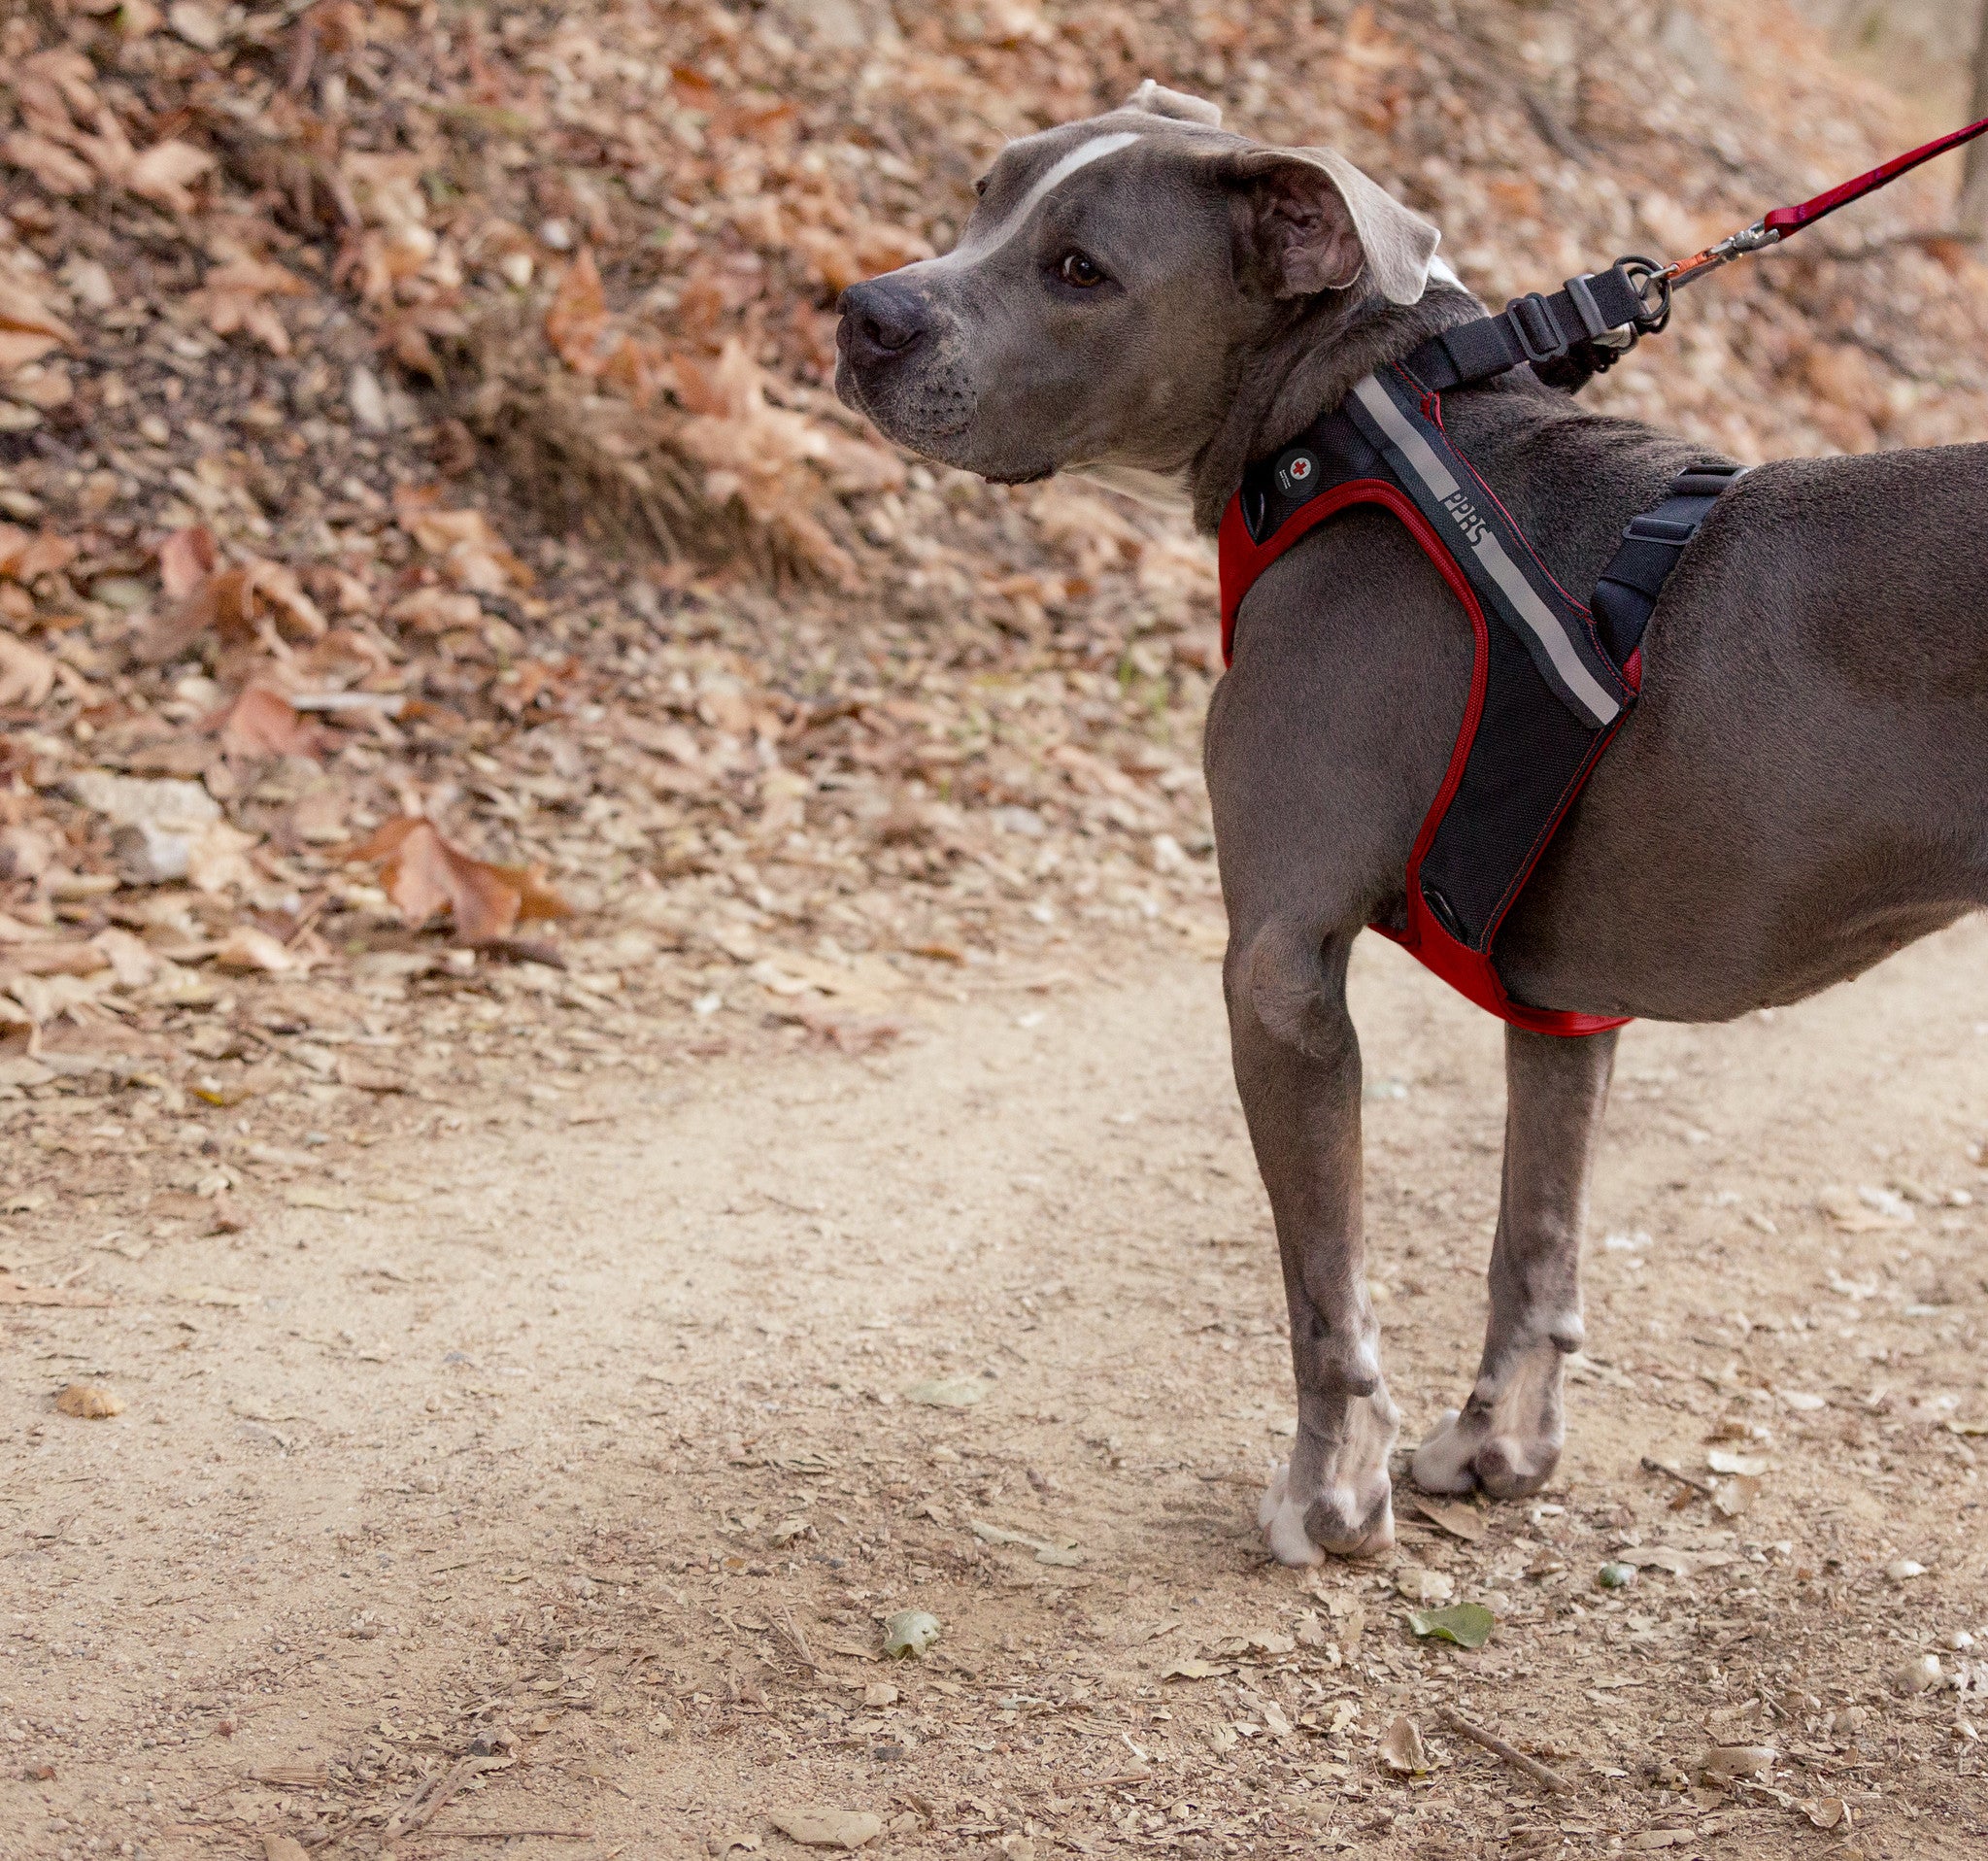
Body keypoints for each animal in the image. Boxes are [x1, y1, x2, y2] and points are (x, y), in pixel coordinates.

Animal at [830, 83, 1987, 1567]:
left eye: (1081, 270)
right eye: (985, 190)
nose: (866, 312)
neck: (1338, 417)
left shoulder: (1277, 968)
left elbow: (1326, 1286)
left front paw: (1329, 1497)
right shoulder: (1562, 1003)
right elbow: (1533, 1241)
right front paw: (1500, 1448)